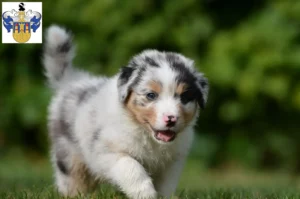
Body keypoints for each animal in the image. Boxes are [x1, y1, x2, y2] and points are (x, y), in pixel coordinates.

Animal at [43, 25, 209, 198]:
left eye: (184, 97)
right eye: (151, 95)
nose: (171, 119)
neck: (146, 135)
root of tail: (73, 80)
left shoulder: (172, 162)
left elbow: (166, 186)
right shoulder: (107, 152)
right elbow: (132, 167)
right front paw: (145, 193)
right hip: (69, 154)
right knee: (73, 180)